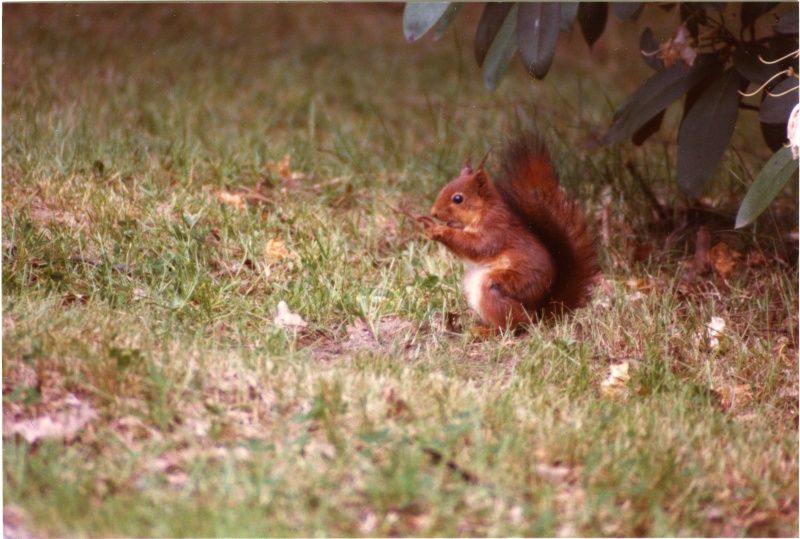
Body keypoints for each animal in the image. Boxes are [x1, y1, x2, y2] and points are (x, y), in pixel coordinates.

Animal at [422, 135, 596, 330]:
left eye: (458, 199)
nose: (433, 213)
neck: (484, 210)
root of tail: (537, 315)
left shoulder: (495, 230)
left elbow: (476, 247)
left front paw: (441, 231)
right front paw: (430, 227)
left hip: (499, 286)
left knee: (512, 326)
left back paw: (484, 332)